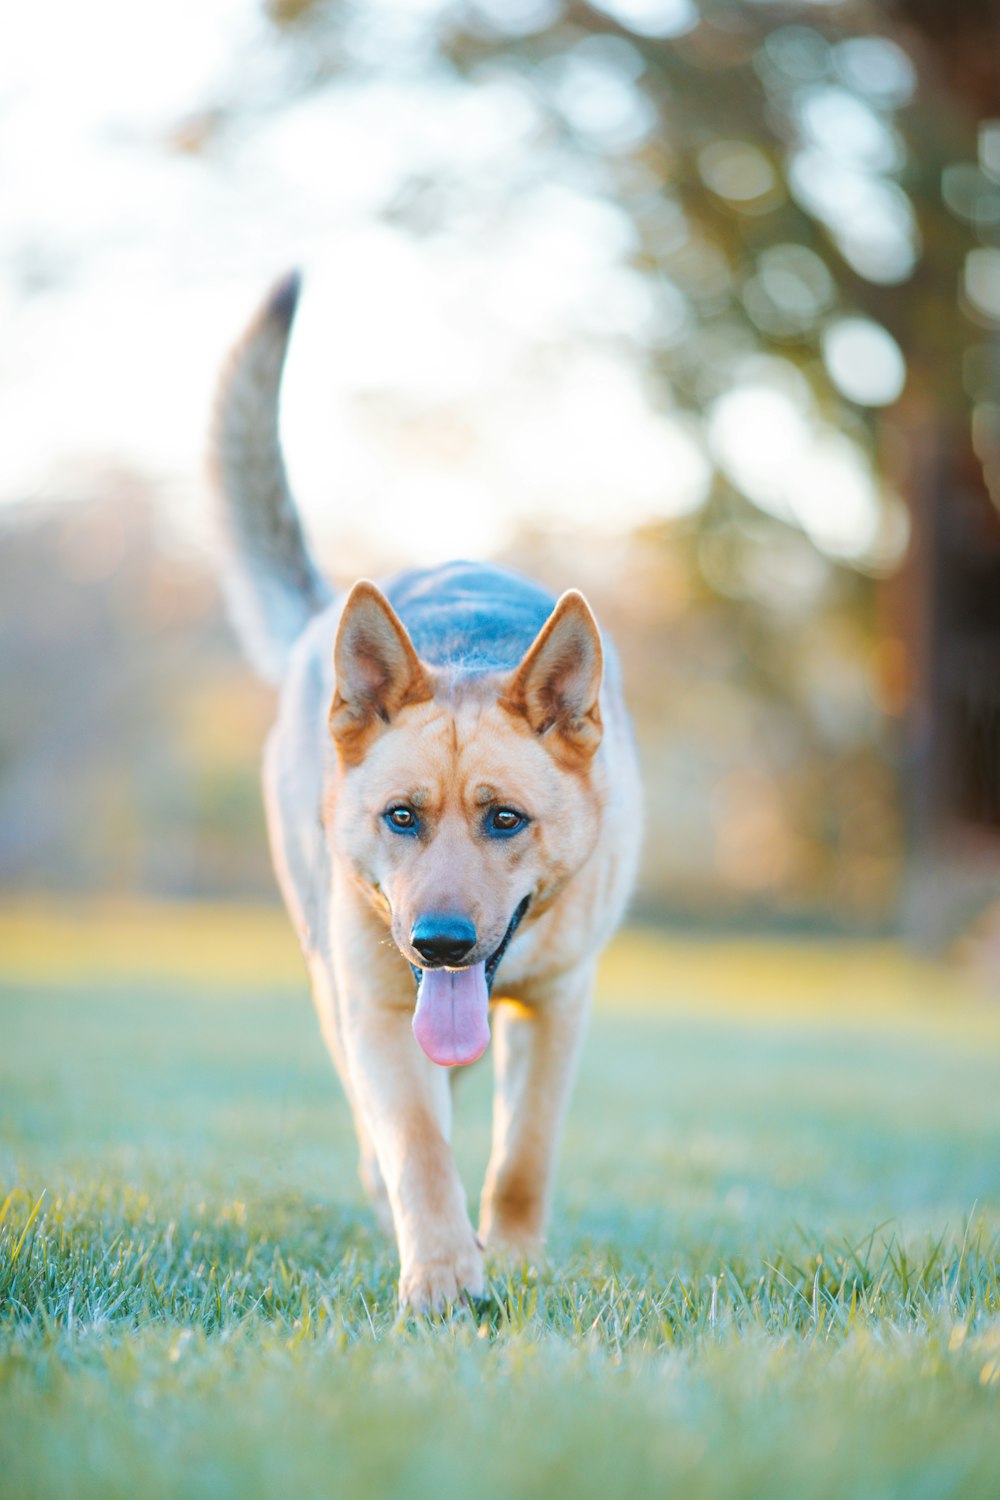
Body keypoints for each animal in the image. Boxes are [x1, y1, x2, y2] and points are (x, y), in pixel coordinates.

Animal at [209, 276, 641, 1308]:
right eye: (400, 817)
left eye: (506, 820)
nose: (438, 941)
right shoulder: (376, 1005)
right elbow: (416, 1144)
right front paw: (444, 1277)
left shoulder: (559, 1005)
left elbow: (522, 1156)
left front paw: (512, 1258)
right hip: (332, 976)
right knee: (388, 1131)